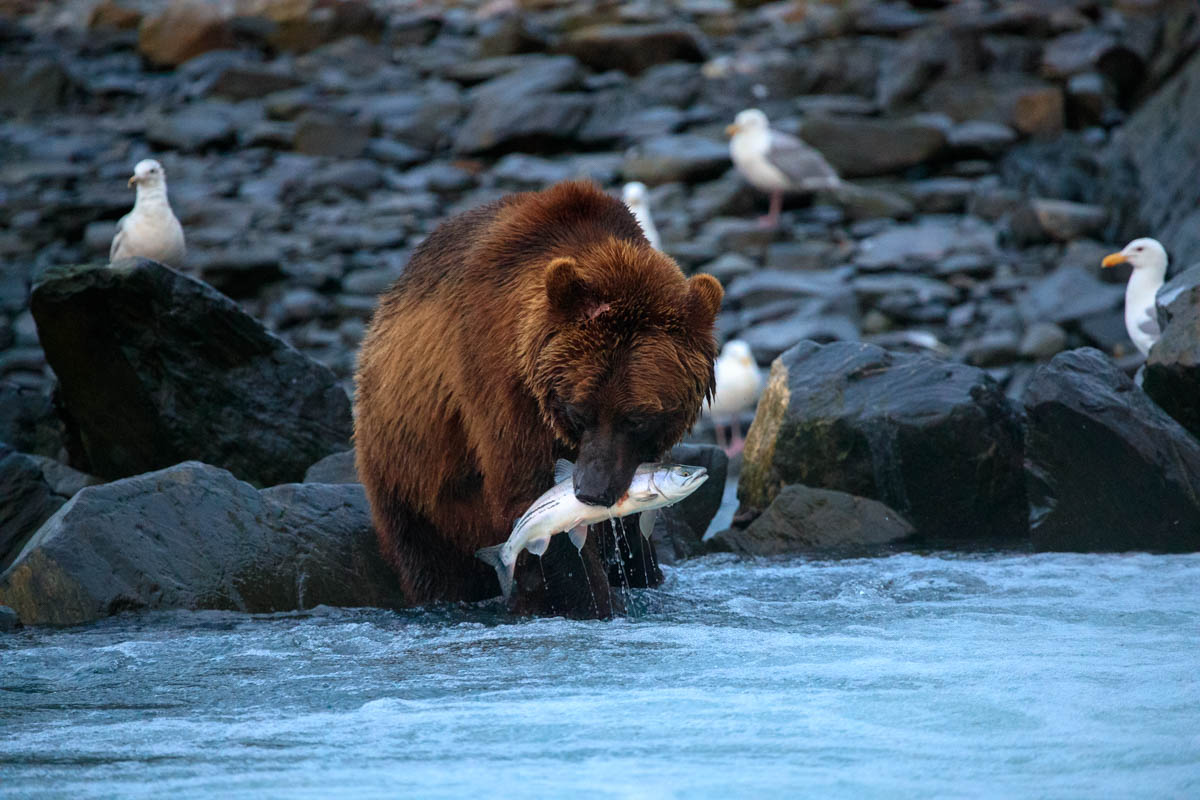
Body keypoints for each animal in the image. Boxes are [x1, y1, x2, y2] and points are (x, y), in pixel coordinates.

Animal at [350, 181, 715, 618]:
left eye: (637, 418)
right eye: (579, 411)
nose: (590, 493)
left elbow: (629, 527)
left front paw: (636, 571)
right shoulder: (503, 377)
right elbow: (526, 485)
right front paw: (593, 602)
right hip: (411, 470)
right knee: (430, 558)